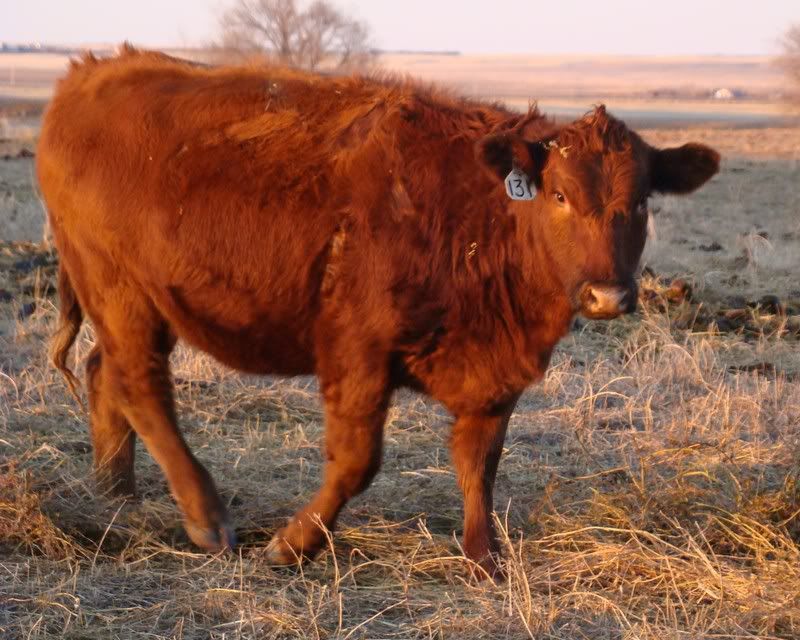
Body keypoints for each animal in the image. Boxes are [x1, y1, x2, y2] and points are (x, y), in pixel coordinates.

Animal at [38, 47, 719, 578]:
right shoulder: (357, 353)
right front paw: (293, 544)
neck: (475, 211)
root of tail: (89, 75)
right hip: (120, 290)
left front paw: (484, 558)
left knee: (105, 374)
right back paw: (206, 519)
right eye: (558, 195)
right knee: (141, 385)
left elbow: (480, 463)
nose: (609, 296)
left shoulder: (495, 378)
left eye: (642, 202)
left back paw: (116, 495)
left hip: (134, 303)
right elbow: (357, 461)